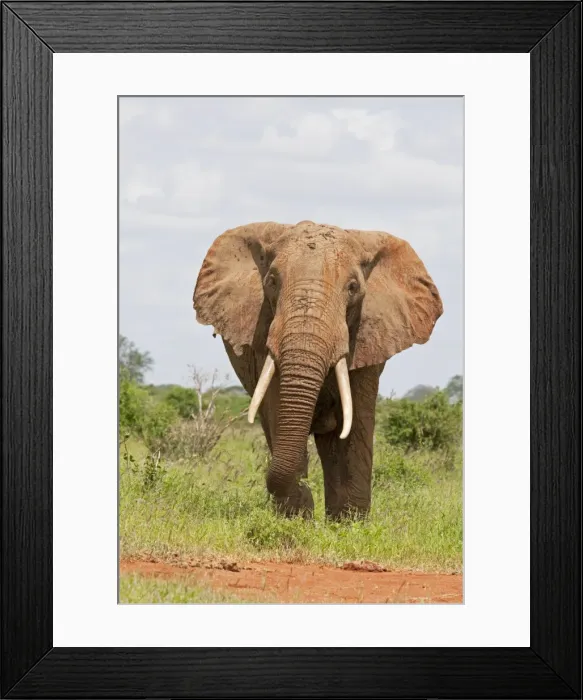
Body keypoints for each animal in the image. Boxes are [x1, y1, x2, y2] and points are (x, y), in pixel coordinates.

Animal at [193, 220, 442, 519]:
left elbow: (353, 427)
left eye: (353, 287)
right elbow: (279, 410)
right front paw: (295, 517)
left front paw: (348, 525)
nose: (305, 488)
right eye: (272, 282)